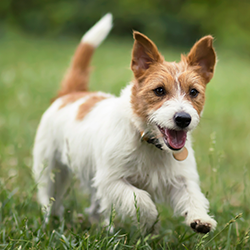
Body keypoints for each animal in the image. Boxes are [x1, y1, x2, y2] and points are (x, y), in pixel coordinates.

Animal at [32, 13, 217, 234]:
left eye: (193, 92)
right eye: (159, 90)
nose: (183, 118)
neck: (148, 140)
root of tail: (71, 93)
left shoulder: (180, 179)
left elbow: (193, 195)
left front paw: (200, 218)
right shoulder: (112, 180)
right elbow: (141, 199)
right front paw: (150, 220)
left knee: (96, 205)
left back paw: (102, 226)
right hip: (50, 167)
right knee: (49, 195)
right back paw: (51, 220)